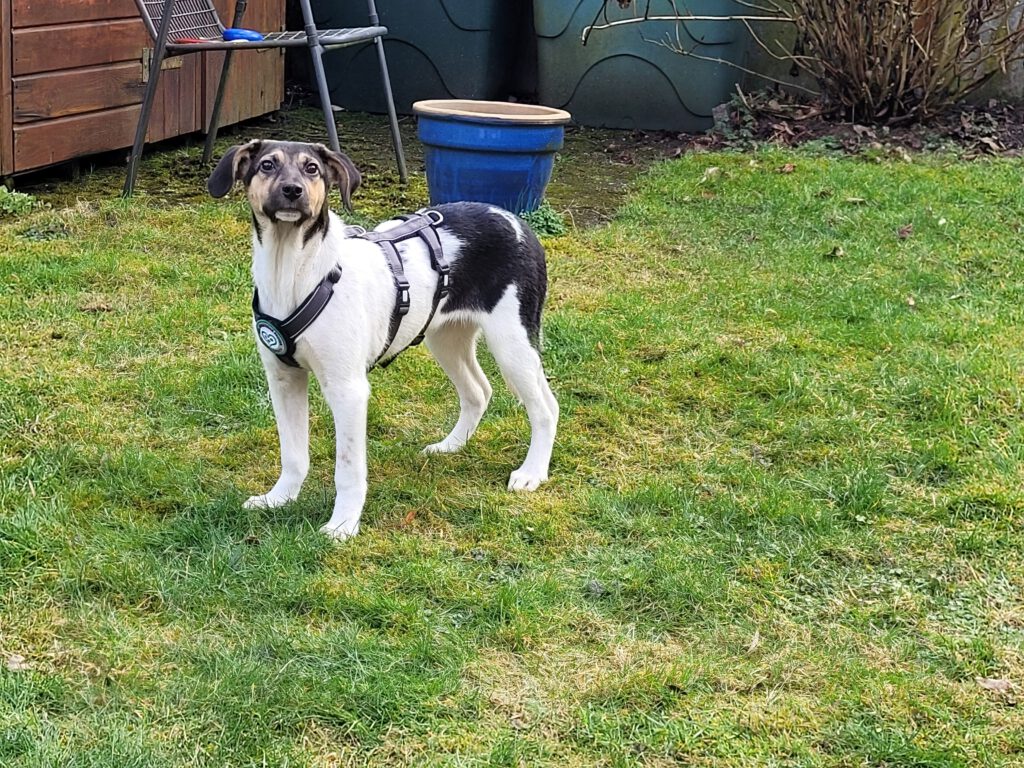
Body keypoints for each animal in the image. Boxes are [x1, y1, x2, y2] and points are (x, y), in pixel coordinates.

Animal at [207, 140, 558, 539]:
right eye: (267, 165)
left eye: (312, 169)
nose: (293, 191)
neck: (292, 271)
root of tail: (514, 220)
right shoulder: (283, 378)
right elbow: (293, 454)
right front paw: (279, 498)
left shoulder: (348, 390)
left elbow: (348, 469)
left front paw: (343, 525)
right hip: (446, 337)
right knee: (479, 391)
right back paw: (451, 446)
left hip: (512, 341)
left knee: (545, 408)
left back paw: (532, 473)